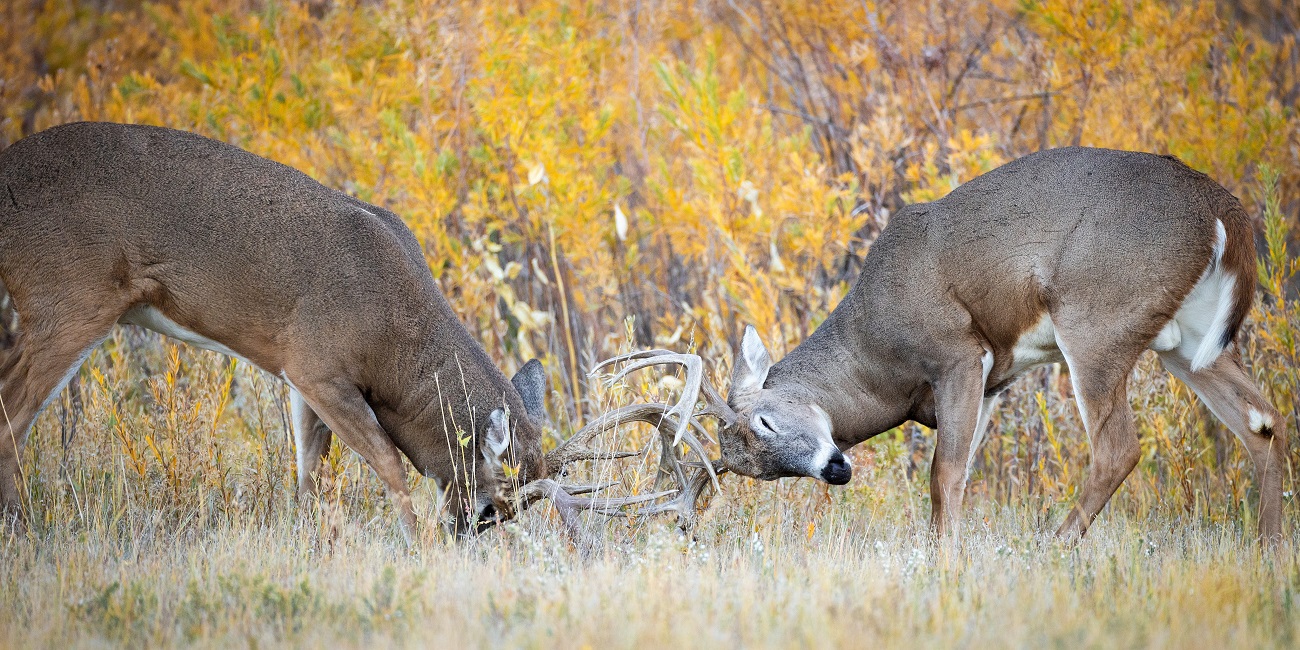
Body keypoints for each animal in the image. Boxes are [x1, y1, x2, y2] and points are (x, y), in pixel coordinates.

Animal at [0, 120, 702, 543]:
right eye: (494, 499)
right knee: (12, 414)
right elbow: (389, 464)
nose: (467, 535)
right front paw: (417, 548)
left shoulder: (297, 372)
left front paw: (311, 542)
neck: (393, 332)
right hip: (70, 299)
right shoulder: (317, 362)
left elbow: (306, 473)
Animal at [707, 147, 1294, 543]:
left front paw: (942, 560)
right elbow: (959, 475)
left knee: (1119, 448)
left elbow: (942, 475)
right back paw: (1269, 549)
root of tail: (1221, 208)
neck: (877, 356)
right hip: (1188, 341)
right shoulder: (992, 384)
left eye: (765, 421)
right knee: (1262, 421)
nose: (835, 469)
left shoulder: (959, 355)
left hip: (1097, 322)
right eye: (762, 471)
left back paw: (1054, 546)